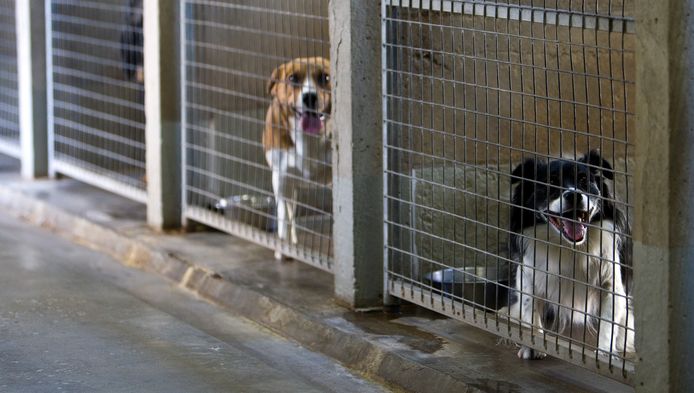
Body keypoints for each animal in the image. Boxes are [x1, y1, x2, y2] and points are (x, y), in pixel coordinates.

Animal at [264, 56, 334, 258]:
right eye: (292, 78)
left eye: (325, 77)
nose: (310, 97)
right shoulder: (281, 179)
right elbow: (283, 220)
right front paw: (283, 249)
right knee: (290, 213)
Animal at [506, 150, 636, 358]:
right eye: (550, 182)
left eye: (583, 179)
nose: (574, 195)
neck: (569, 246)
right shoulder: (527, 274)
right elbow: (530, 309)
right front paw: (533, 345)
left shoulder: (611, 281)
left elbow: (608, 324)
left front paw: (604, 355)